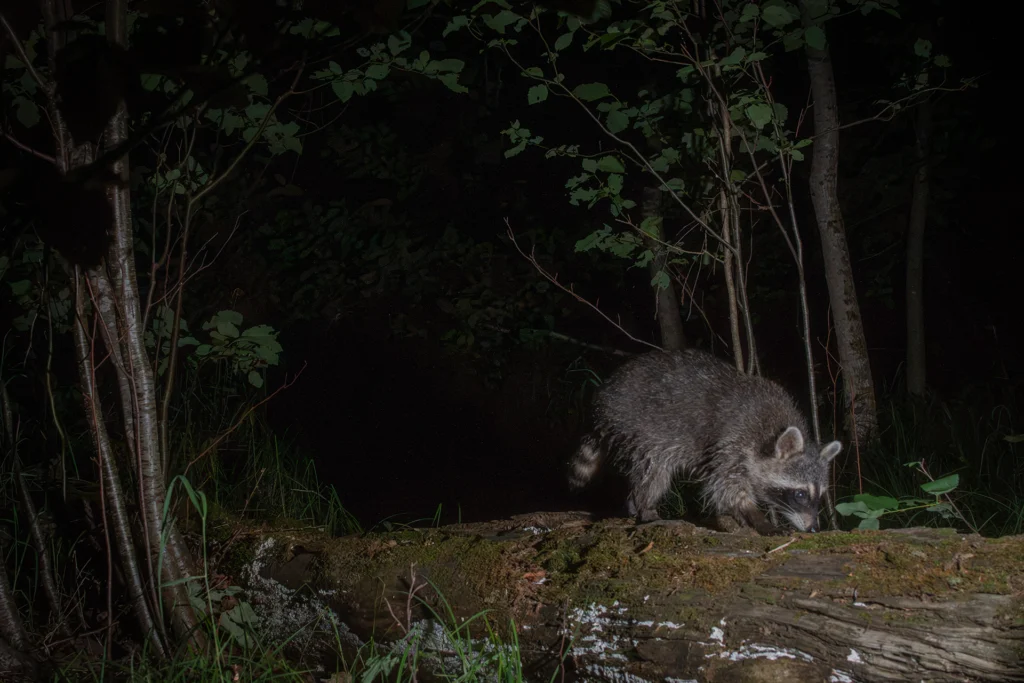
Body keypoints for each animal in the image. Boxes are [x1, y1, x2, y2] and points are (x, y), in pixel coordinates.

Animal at [569, 349, 842, 534]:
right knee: (654, 470)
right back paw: (645, 505)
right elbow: (726, 487)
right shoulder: (733, 440)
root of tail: (602, 399)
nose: (814, 528)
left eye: (820, 495)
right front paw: (756, 517)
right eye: (800, 494)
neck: (770, 434)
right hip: (638, 425)